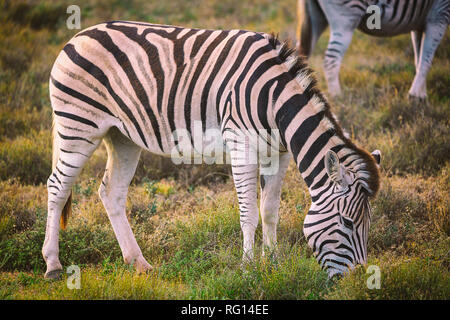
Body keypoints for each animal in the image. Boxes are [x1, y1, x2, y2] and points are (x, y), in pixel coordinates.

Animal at [42, 20, 380, 280]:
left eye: (367, 224)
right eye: (348, 223)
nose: (356, 281)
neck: (275, 101)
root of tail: (78, 35)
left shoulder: (280, 153)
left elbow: (270, 211)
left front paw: (273, 264)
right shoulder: (242, 145)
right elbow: (249, 213)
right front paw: (248, 269)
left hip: (122, 136)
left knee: (111, 192)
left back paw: (139, 264)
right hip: (78, 125)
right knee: (57, 187)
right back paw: (53, 265)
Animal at [298, 0, 448, 100]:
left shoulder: (419, 25)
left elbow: (419, 58)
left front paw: (421, 95)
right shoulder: (440, 15)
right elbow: (426, 60)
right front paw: (415, 97)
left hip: (317, 17)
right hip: (346, 17)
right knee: (331, 59)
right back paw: (337, 96)